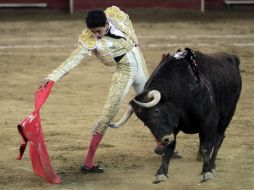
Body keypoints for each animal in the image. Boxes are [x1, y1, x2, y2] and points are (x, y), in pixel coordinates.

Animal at [109, 48, 242, 183]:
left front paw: (206, 172)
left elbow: (207, 145)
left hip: (227, 113)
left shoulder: (209, 119)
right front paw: (161, 173)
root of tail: (232, 57)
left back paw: (212, 165)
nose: (164, 139)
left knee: (218, 138)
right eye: (145, 123)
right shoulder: (173, 127)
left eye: (156, 111)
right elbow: (169, 149)